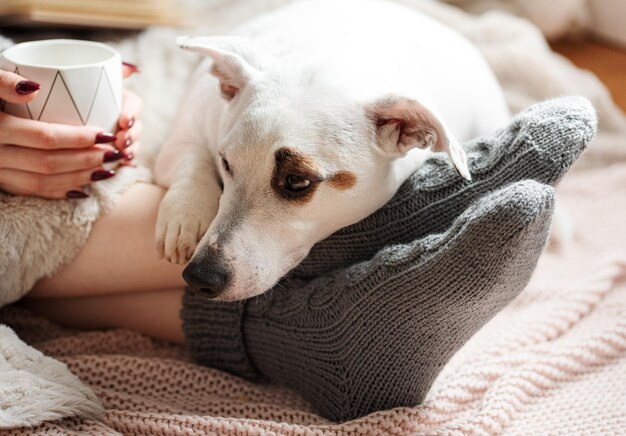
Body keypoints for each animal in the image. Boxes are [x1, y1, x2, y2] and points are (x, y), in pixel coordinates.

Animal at [154, 0, 510, 300]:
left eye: (297, 182)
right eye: (226, 163)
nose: (200, 277)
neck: (335, 51)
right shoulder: (180, 139)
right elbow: (191, 160)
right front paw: (186, 214)